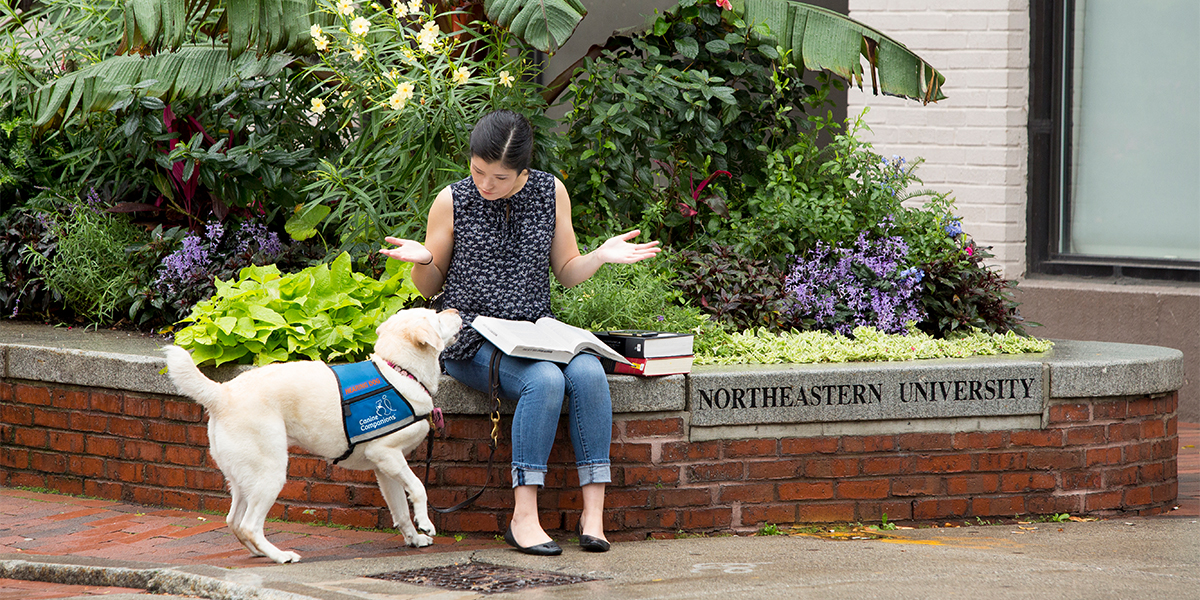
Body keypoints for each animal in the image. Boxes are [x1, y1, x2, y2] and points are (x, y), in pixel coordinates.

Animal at [160, 309, 458, 561]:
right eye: (436, 317)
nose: (456, 311)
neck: (399, 372)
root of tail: (222, 393)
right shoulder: (386, 455)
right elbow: (418, 488)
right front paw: (426, 524)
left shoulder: (386, 468)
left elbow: (400, 510)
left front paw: (414, 539)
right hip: (270, 473)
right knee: (249, 525)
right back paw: (280, 556)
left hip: (244, 478)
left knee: (234, 521)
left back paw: (259, 552)